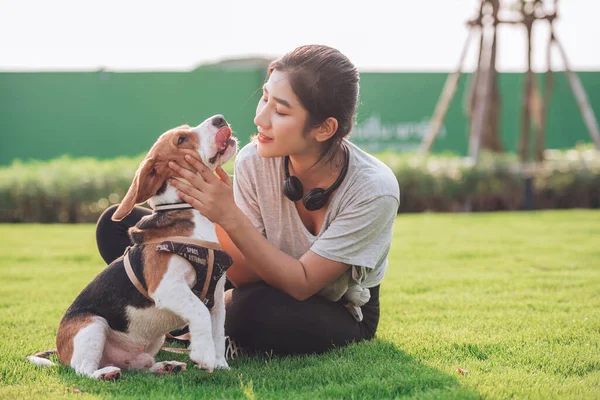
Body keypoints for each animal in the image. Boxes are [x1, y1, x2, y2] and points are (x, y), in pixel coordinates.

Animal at [27, 114, 239, 380]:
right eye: (181, 139)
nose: (220, 119)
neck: (188, 214)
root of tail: (60, 350)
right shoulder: (166, 287)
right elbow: (198, 311)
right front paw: (204, 356)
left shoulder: (217, 297)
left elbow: (218, 332)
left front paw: (220, 364)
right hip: (93, 326)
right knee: (82, 369)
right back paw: (104, 374)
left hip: (152, 341)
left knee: (139, 365)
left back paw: (164, 366)